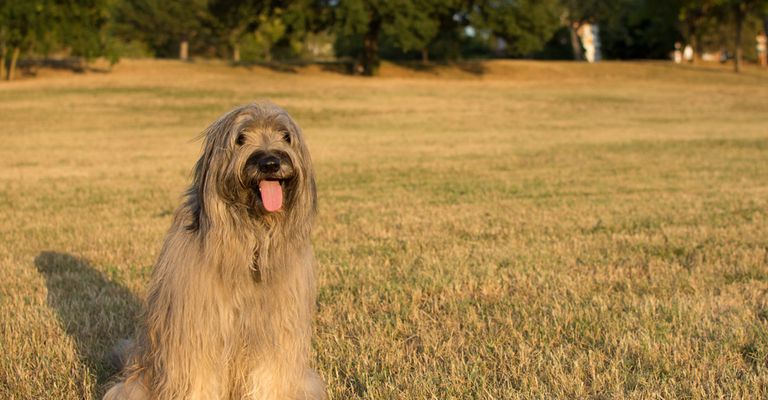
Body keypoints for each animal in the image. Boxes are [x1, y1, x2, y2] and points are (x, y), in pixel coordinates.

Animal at [103, 101, 326, 398]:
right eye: (241, 138)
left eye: (285, 136)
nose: (270, 162)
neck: (251, 239)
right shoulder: (198, 331)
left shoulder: (276, 331)